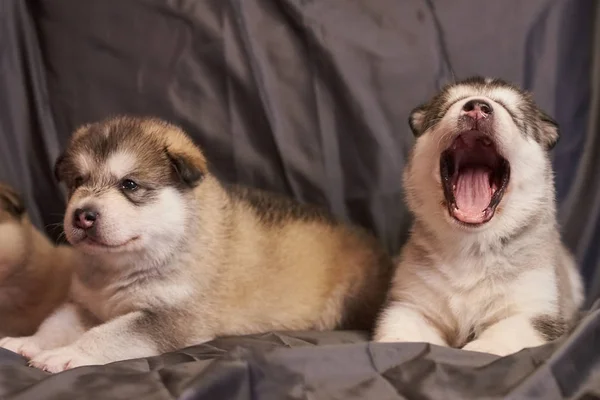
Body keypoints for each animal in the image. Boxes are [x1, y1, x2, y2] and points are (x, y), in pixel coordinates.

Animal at [378, 77, 584, 356]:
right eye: (448, 106)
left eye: (512, 113)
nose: (477, 107)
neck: (470, 246)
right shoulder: (411, 304)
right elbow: (402, 334)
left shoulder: (534, 309)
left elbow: (498, 340)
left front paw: (479, 348)